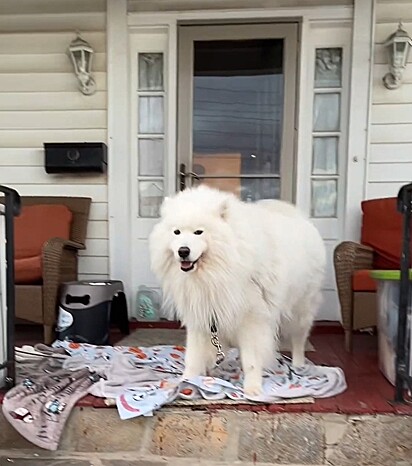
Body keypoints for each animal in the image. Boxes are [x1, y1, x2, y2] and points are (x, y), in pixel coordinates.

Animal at [148, 186, 326, 396]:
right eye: (176, 232)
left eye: (198, 232)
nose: (183, 251)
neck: (216, 272)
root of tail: (299, 218)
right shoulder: (201, 315)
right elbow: (193, 356)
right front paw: (186, 381)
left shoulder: (252, 318)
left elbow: (251, 360)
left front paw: (252, 388)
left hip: (301, 309)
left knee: (299, 339)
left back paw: (298, 365)